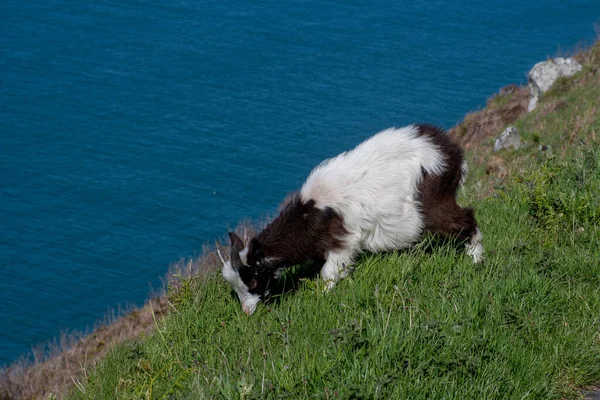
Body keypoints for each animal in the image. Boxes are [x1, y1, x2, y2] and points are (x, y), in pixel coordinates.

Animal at [218, 125, 486, 316]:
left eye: (253, 280)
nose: (247, 312)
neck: (310, 215)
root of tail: (452, 152)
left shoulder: (343, 242)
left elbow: (329, 274)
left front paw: (322, 298)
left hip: (433, 204)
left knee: (467, 219)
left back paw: (476, 259)